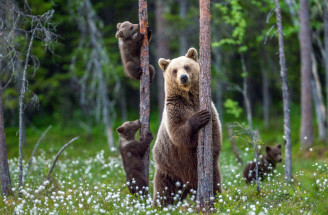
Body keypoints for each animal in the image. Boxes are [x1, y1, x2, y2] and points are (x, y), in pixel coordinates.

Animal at [152, 47, 222, 207]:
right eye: (174, 70)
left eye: (187, 66)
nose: (183, 77)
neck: (188, 98)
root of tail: (188, 186)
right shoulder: (175, 110)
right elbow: (178, 133)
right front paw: (199, 117)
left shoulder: (210, 108)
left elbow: (215, 134)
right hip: (169, 170)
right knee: (164, 192)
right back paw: (159, 206)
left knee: (215, 183)